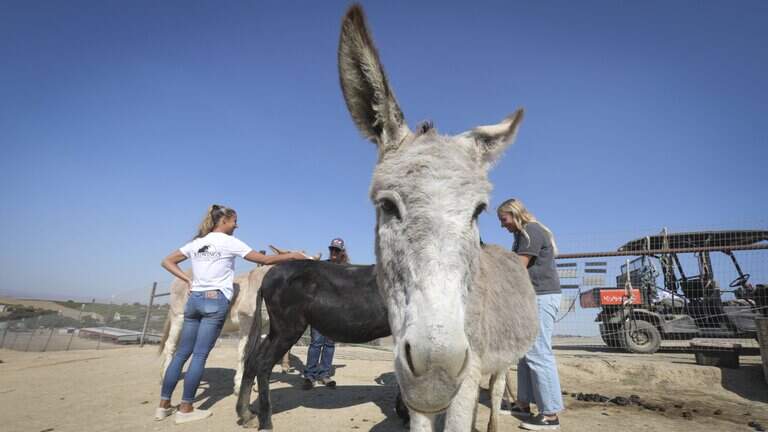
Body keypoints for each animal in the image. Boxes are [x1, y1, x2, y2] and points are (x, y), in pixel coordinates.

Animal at [338, 5, 539, 432]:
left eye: (478, 211)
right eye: (387, 205)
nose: (436, 370)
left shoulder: (469, 367)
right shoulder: (411, 373)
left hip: (503, 357)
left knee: (498, 387)